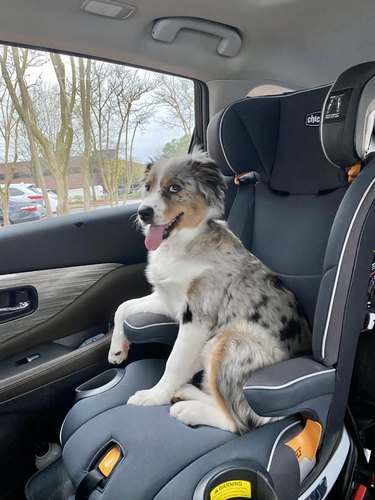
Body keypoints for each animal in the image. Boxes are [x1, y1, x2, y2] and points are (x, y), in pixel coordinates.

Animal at [108, 147, 312, 434]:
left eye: (174, 188)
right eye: (147, 187)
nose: (143, 212)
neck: (184, 245)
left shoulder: (197, 317)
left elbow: (173, 361)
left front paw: (153, 396)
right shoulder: (168, 301)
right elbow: (122, 307)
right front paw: (117, 349)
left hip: (228, 343)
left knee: (239, 421)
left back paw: (188, 409)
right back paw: (186, 391)